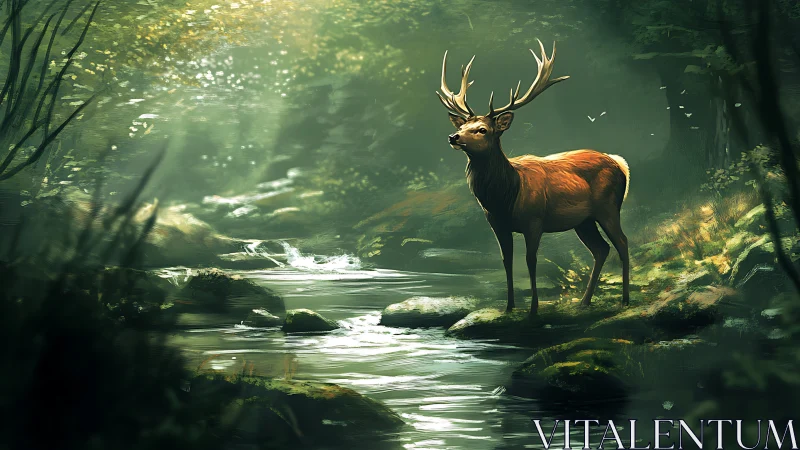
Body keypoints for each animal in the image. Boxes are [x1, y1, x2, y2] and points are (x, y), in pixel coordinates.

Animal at [436, 40, 630, 317]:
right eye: (462, 127)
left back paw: (625, 299)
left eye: (482, 129)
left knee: (622, 242)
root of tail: (620, 163)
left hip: (608, 207)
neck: (505, 197)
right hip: (583, 220)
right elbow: (506, 261)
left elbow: (530, 260)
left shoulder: (534, 220)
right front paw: (509, 307)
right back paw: (584, 302)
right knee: (601, 249)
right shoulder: (496, 224)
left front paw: (533, 310)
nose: (453, 137)